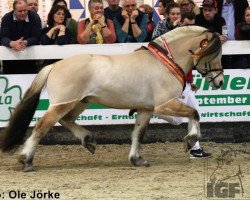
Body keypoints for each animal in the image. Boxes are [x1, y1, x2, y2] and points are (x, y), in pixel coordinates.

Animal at [0, 25, 223, 171]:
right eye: (215, 55)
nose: (219, 81)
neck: (165, 62)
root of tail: (54, 65)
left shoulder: (146, 109)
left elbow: (138, 134)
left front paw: (136, 160)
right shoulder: (164, 105)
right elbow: (194, 113)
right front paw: (190, 141)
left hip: (80, 102)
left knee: (66, 120)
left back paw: (89, 140)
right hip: (63, 103)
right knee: (41, 127)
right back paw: (26, 161)